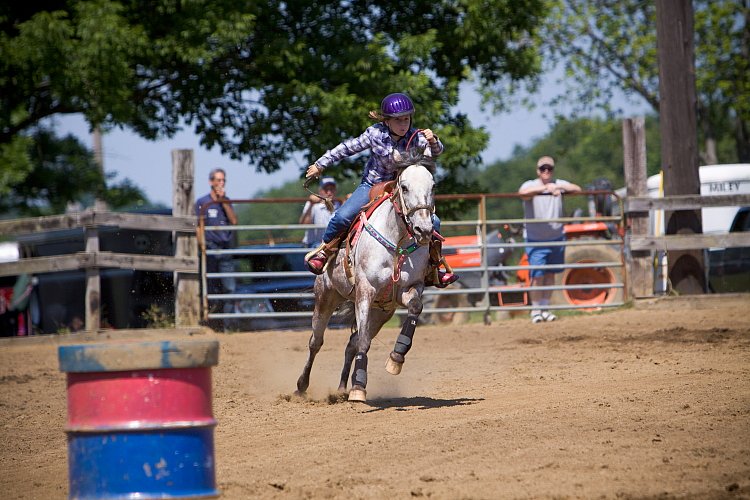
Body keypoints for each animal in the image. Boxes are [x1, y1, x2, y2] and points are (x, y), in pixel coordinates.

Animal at [294, 148, 434, 402]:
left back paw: (342, 389)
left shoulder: (409, 289)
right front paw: (359, 387)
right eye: (405, 187)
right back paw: (301, 386)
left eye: (433, 186)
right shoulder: (365, 292)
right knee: (316, 342)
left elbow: (415, 308)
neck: (397, 241)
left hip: (382, 312)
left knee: (352, 342)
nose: (424, 230)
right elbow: (363, 343)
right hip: (326, 297)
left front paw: (396, 358)